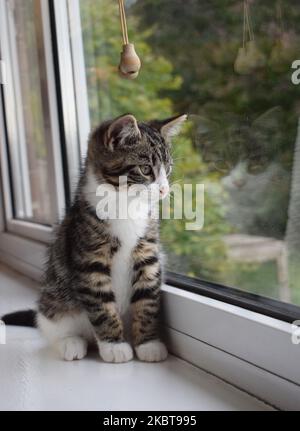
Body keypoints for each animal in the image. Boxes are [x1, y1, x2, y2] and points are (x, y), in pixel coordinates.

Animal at [2, 115, 188, 364]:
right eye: (146, 169)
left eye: (167, 169)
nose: (164, 190)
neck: (125, 204)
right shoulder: (88, 259)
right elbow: (102, 306)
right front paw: (114, 346)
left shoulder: (148, 253)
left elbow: (147, 300)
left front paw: (148, 343)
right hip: (54, 300)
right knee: (52, 324)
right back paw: (70, 342)